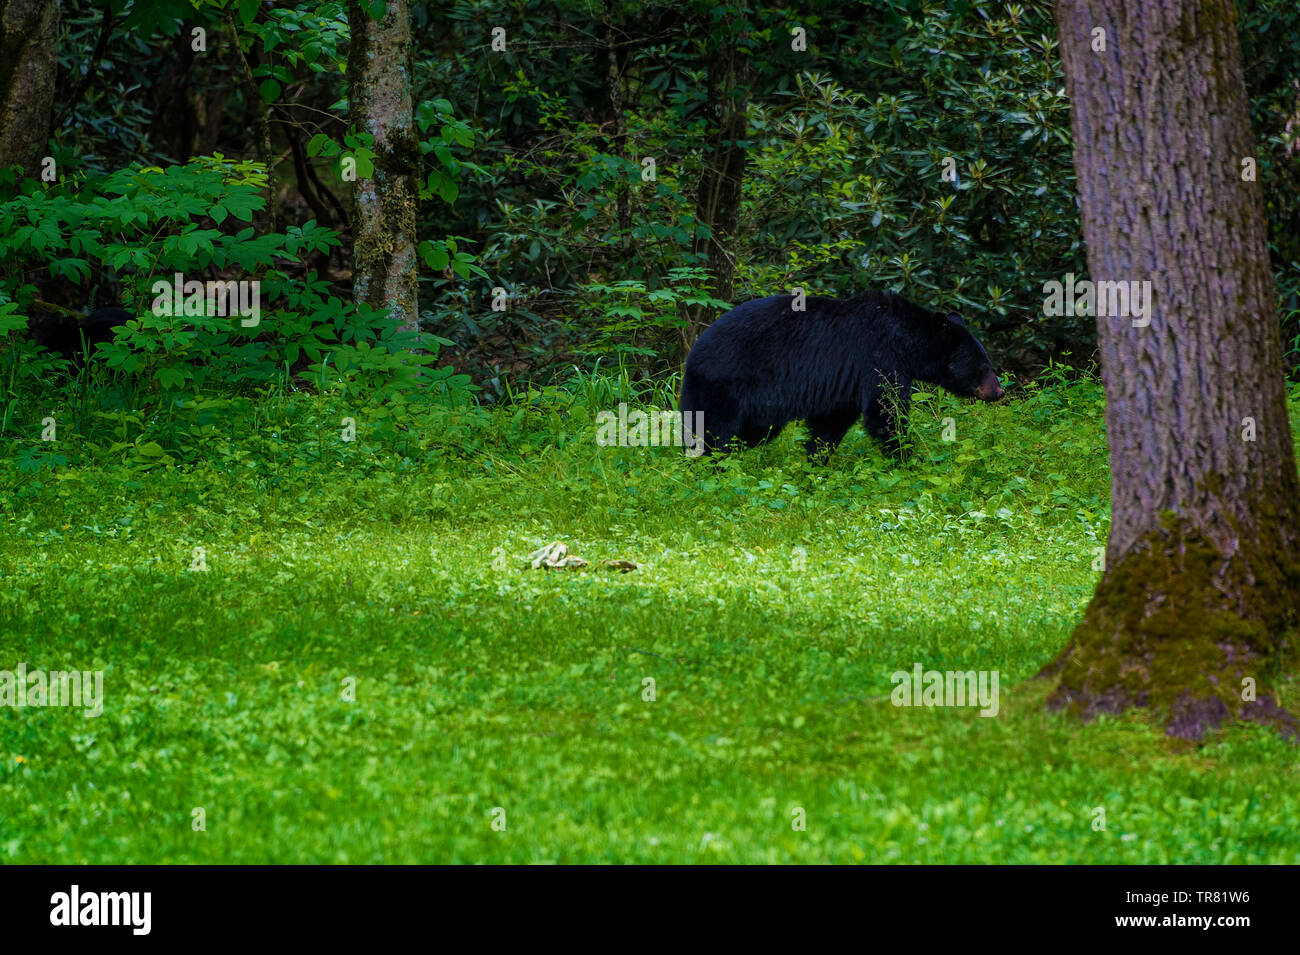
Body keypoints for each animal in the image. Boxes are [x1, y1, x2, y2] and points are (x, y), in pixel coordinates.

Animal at [681, 293, 1003, 462]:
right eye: (982, 365)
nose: (999, 392)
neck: (907, 341)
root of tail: (693, 353)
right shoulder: (879, 357)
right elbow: (886, 411)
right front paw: (906, 458)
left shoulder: (845, 386)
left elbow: (831, 423)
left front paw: (815, 461)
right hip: (724, 386)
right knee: (713, 432)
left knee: (752, 433)